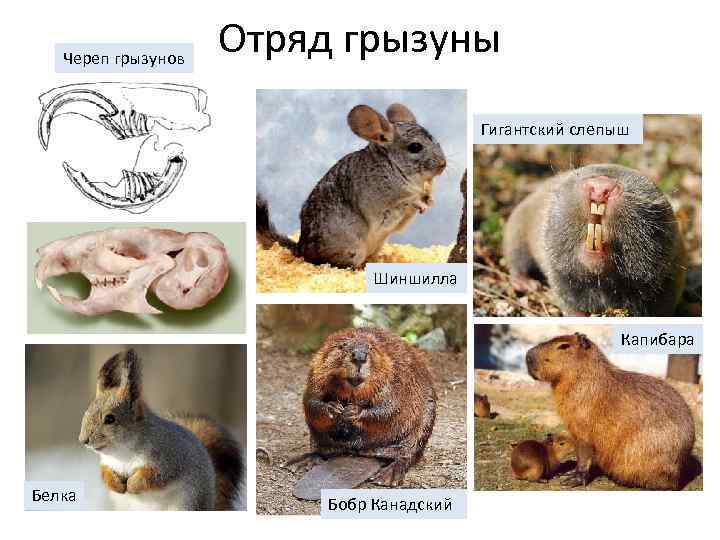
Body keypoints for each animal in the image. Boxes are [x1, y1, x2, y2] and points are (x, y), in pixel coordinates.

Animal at [78, 349, 243, 510]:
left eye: (110, 419)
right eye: (86, 412)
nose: (83, 440)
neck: (122, 452)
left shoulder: (169, 460)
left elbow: (153, 476)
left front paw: (132, 485)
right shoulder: (107, 463)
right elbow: (105, 473)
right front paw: (117, 485)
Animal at [257, 103, 447, 268]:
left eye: (436, 141)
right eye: (415, 147)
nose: (443, 164)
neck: (394, 167)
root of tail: (301, 249)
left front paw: (430, 199)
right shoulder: (385, 206)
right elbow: (406, 201)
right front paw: (420, 202)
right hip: (352, 250)